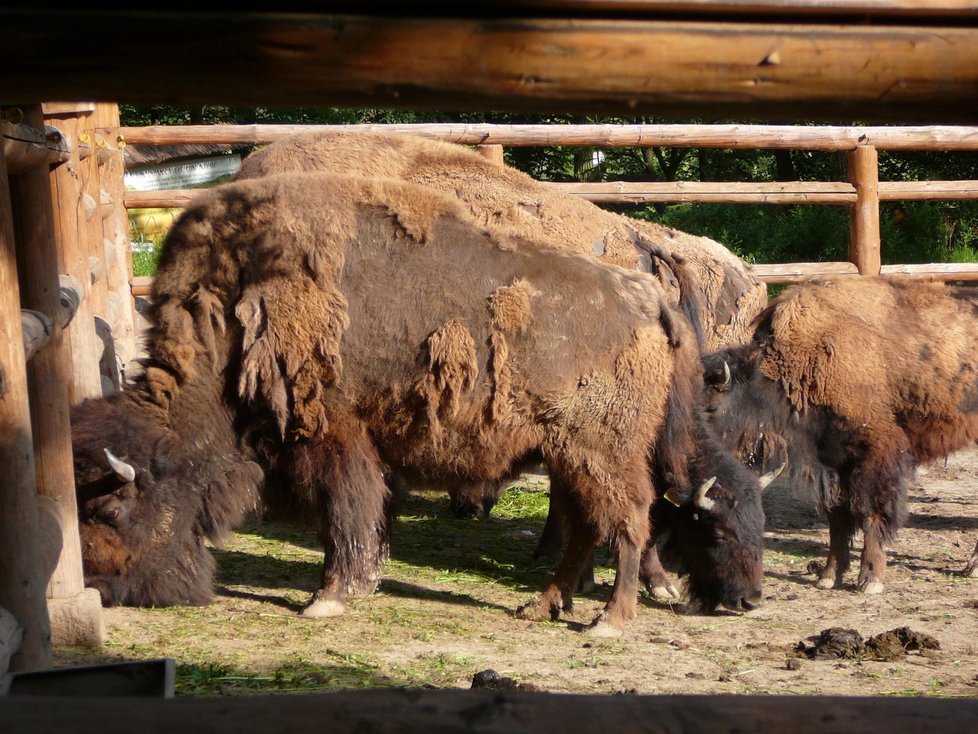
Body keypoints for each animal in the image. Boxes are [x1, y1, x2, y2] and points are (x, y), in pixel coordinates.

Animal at [72, 171, 768, 632]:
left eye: (107, 512)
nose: (100, 588)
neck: (234, 316)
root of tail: (650, 299)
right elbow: (366, 514)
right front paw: (362, 581)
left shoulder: (333, 438)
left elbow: (346, 515)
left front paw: (328, 597)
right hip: (571, 455)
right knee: (590, 527)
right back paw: (541, 605)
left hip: (602, 453)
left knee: (628, 521)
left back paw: (609, 620)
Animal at [700, 278, 978, 600]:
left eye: (712, 407)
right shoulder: (832, 461)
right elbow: (838, 518)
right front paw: (828, 576)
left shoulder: (875, 455)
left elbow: (872, 513)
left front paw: (870, 579)